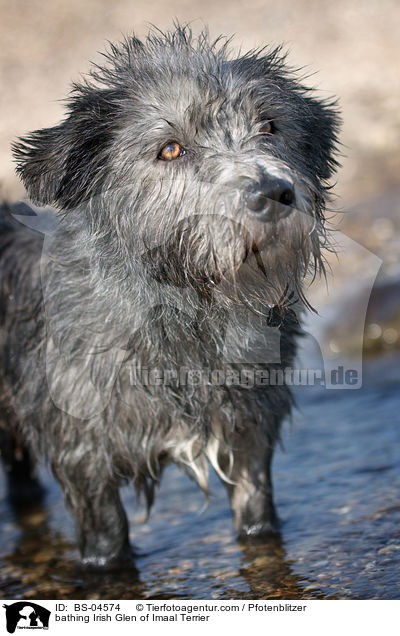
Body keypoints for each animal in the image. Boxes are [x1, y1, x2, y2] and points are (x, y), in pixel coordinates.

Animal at [0, 26, 340, 568]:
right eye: (171, 149)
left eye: (269, 125)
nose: (272, 194)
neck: (183, 316)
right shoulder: (84, 461)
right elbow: (106, 545)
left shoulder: (250, 432)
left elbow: (257, 520)